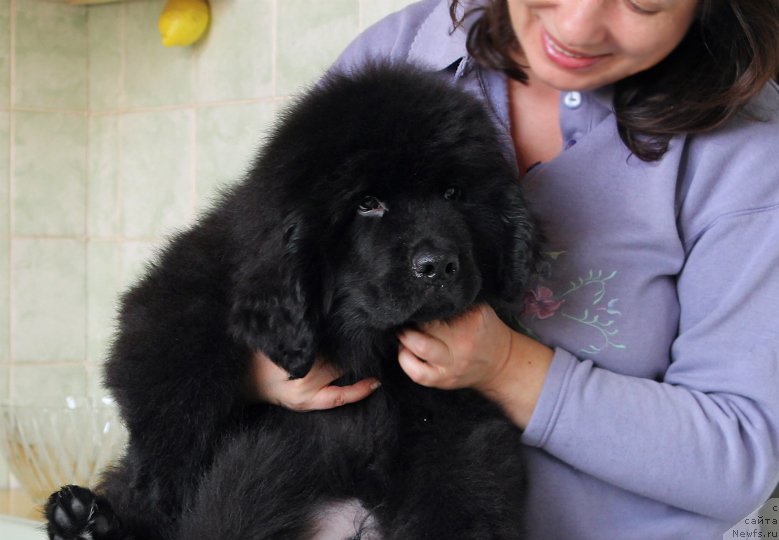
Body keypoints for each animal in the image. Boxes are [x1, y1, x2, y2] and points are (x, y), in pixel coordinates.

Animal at [45, 64, 540, 540]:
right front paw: (160, 487)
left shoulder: (456, 424)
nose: (437, 265)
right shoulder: (186, 289)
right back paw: (85, 520)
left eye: (453, 194)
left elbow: (464, 487)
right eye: (367, 204)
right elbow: (175, 382)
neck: (362, 344)